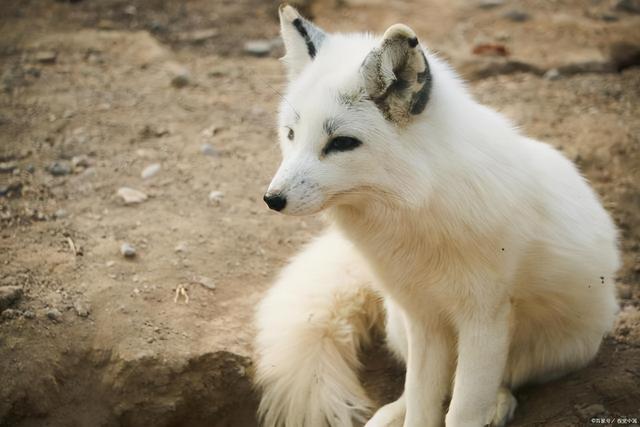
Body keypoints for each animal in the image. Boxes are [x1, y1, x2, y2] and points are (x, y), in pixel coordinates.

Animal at [255, 4, 620, 427]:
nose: (272, 199)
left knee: (503, 381)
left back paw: (498, 403)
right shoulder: (424, 318)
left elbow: (461, 411)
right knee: (419, 389)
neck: (416, 210)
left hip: (559, 348)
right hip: (401, 325)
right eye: (291, 134)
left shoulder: (485, 317)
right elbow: (421, 403)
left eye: (342, 143)